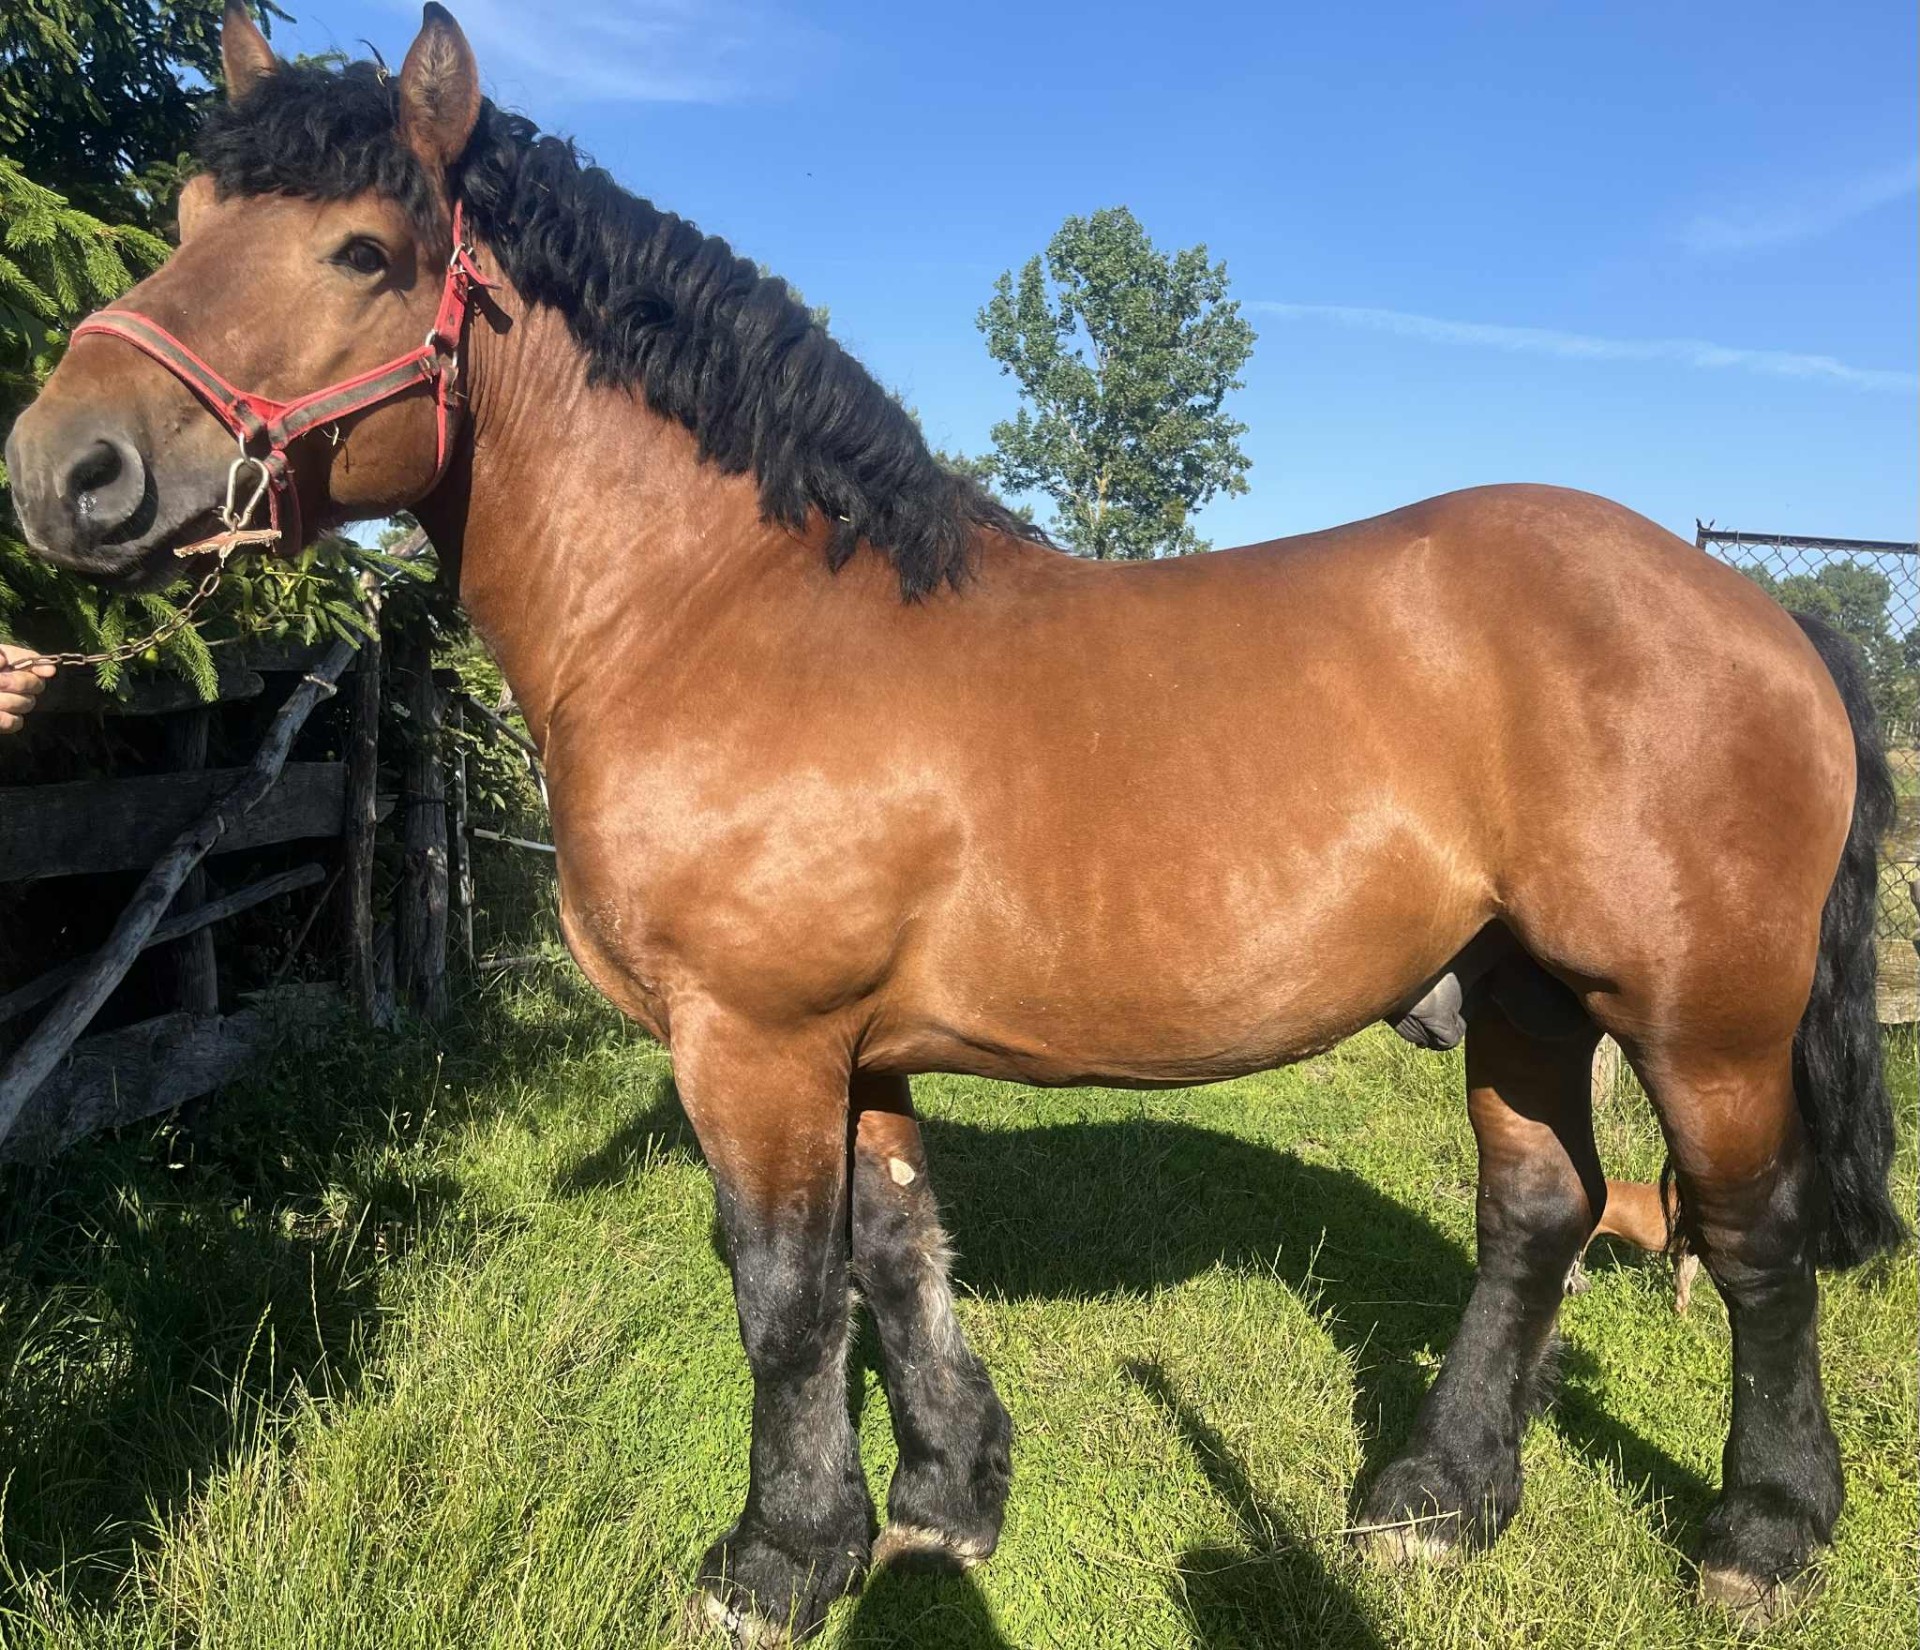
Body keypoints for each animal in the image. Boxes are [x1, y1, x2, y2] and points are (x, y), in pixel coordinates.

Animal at [6, 7, 1902, 1641]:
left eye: (362, 254)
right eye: (183, 220)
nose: (64, 469)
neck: (727, 610)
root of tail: (1760, 608)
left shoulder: (753, 1037)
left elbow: (784, 1287)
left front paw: (778, 1557)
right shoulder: (852, 1045)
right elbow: (898, 1251)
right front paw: (939, 1503)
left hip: (1700, 1016)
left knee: (1754, 1242)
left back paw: (1760, 1534)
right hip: (1517, 988)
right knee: (1540, 1209)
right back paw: (1437, 1501)